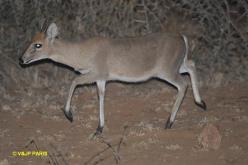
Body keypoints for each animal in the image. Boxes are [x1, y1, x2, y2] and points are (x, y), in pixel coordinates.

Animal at [19, 22, 206, 135]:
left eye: (38, 45)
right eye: (31, 41)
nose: (21, 59)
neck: (81, 53)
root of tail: (182, 37)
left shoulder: (96, 74)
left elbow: (73, 81)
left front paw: (69, 115)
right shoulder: (101, 80)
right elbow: (101, 97)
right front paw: (99, 128)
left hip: (167, 71)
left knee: (183, 84)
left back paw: (169, 122)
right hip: (177, 66)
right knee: (192, 64)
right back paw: (201, 103)